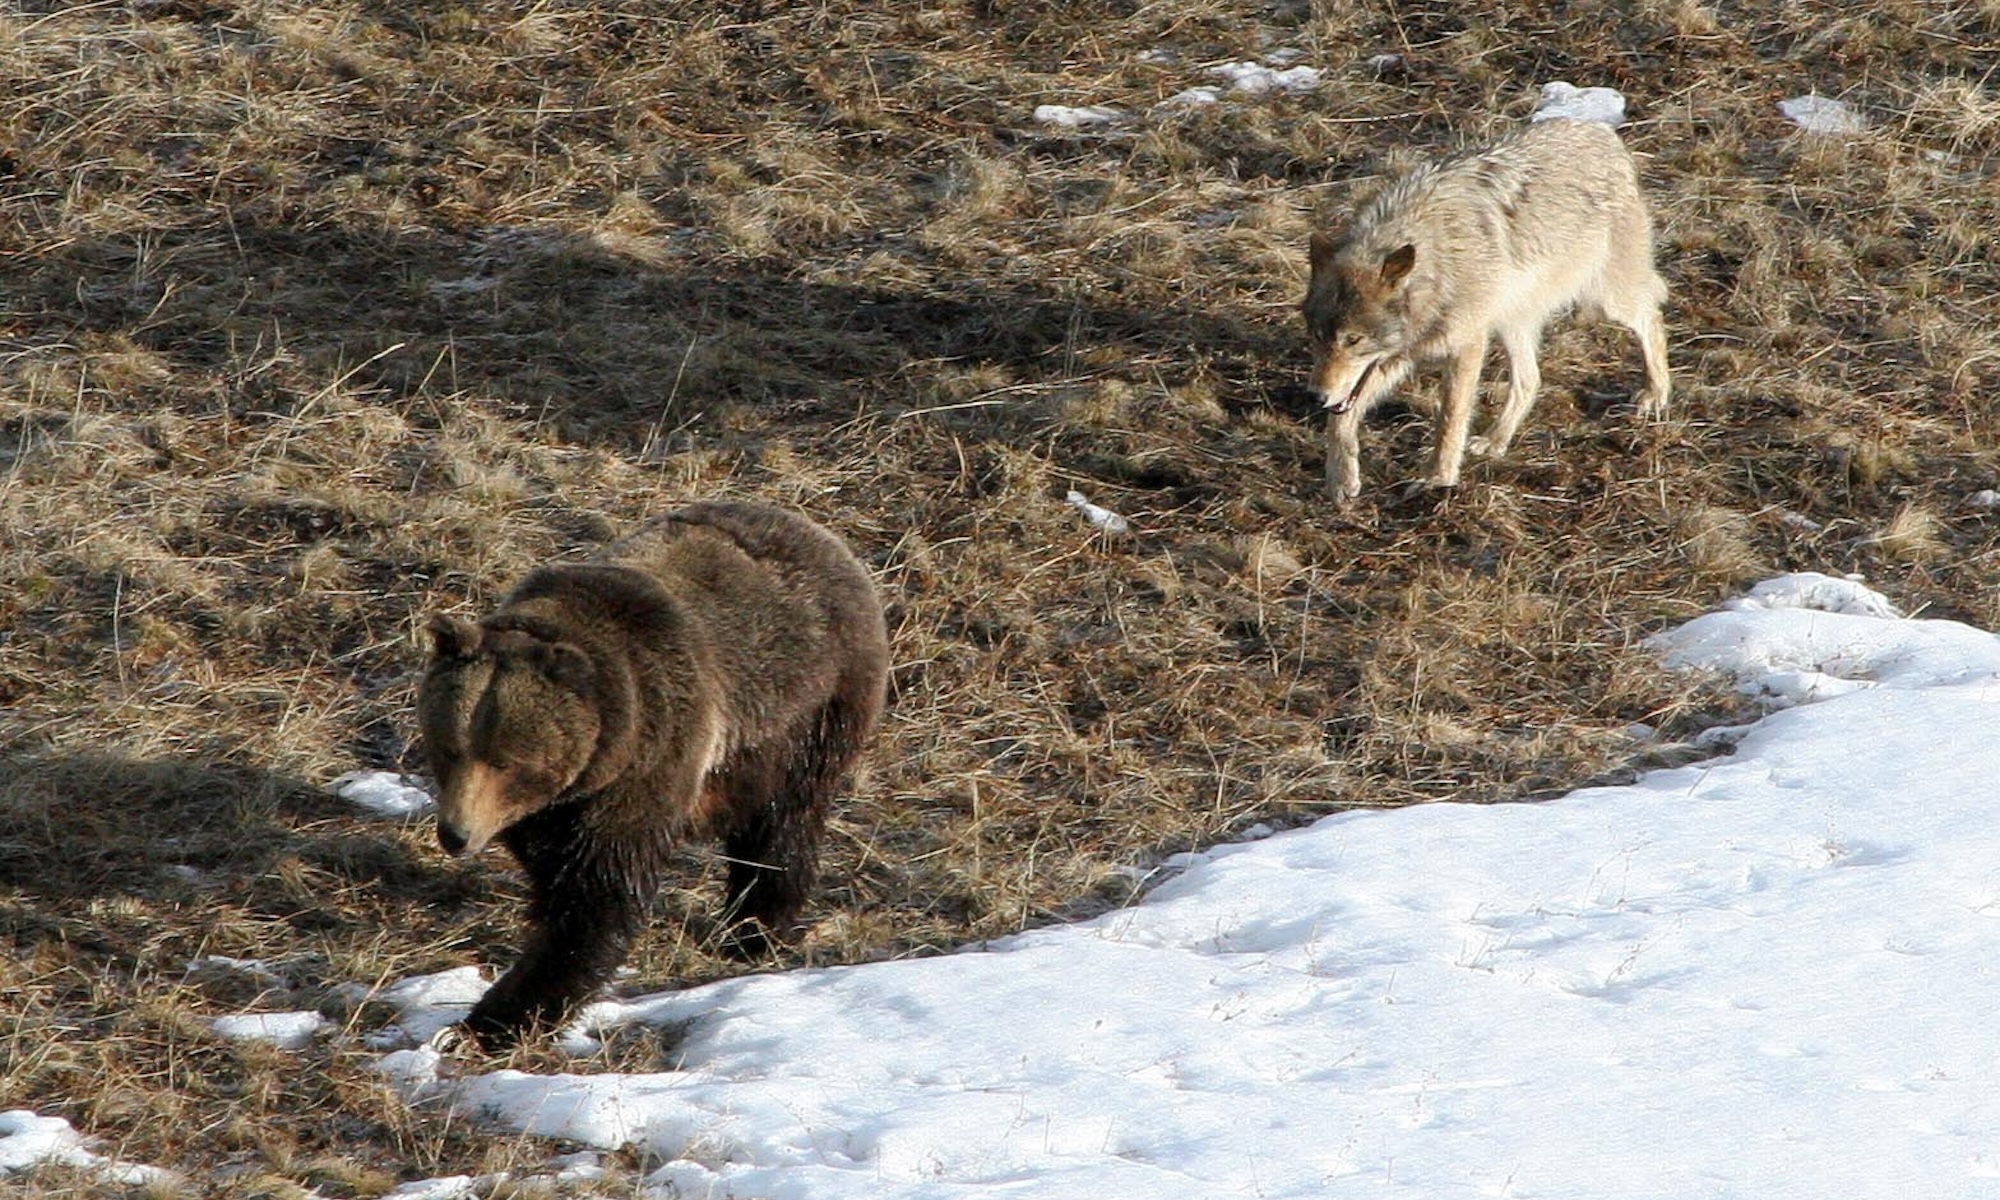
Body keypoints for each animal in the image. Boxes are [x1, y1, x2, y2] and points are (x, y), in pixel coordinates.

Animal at [418, 502, 888, 1048]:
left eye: (506, 761)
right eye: (449, 748)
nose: (456, 834)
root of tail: (822, 535)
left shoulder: (650, 758)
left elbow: (599, 896)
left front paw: (495, 1018)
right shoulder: (553, 808)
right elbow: (555, 870)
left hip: (806, 714)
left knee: (782, 825)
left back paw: (753, 929)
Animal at [1304, 117, 1664, 502]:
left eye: (1353, 340)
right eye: (1318, 337)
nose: (1315, 396)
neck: (1437, 267)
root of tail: (1602, 132)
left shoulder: (1466, 347)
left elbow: (1449, 419)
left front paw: (1438, 478)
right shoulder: (1396, 358)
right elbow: (1341, 418)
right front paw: (1341, 478)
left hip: (1607, 299)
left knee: (1652, 316)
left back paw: (1656, 394)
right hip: (1512, 322)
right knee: (1531, 379)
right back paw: (1495, 442)